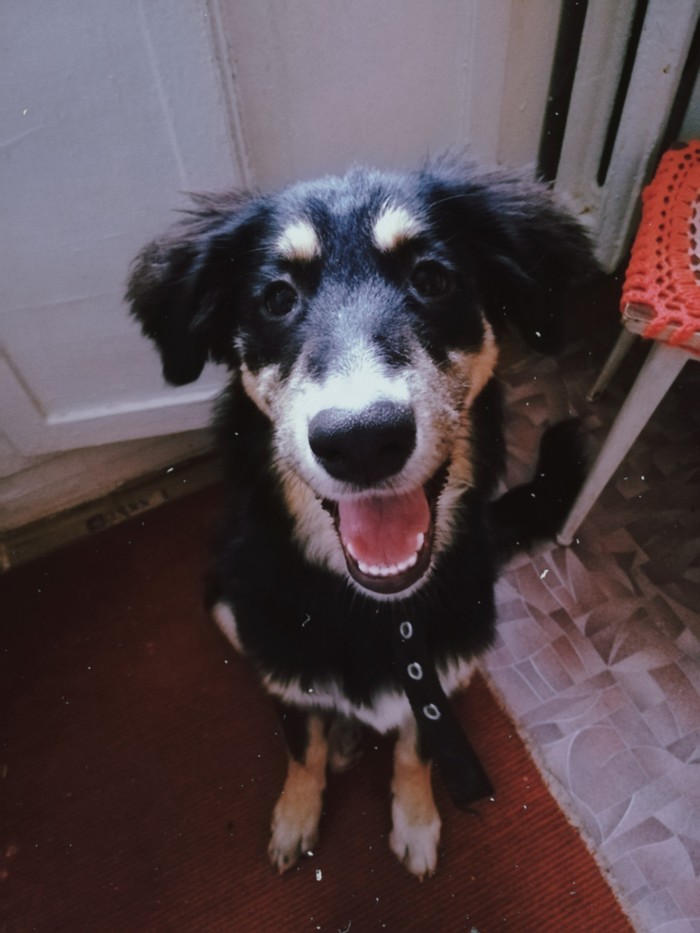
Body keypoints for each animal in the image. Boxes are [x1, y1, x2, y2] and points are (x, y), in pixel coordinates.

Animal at [127, 161, 594, 879]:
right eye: (276, 299)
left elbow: (416, 747)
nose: (363, 440)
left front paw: (416, 818)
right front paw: (296, 813)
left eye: (432, 279)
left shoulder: (434, 679)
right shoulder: (280, 667)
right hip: (224, 603)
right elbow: (301, 745)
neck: (375, 610)